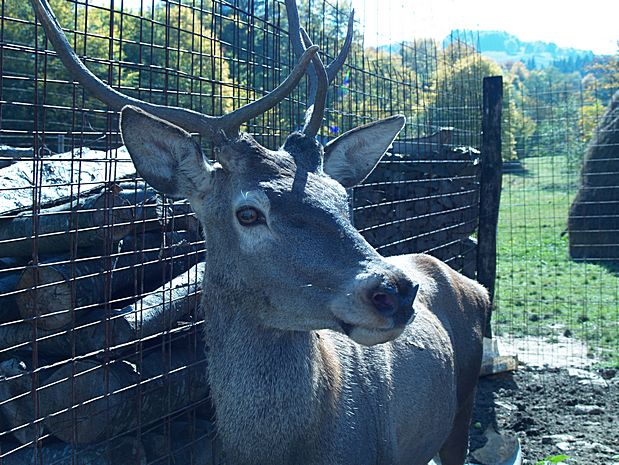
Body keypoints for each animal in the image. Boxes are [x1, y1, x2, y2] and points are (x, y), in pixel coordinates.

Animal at [30, 0, 490, 462]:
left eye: (344, 200)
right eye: (248, 213)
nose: (394, 291)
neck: (270, 450)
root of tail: (479, 287)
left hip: (464, 404)